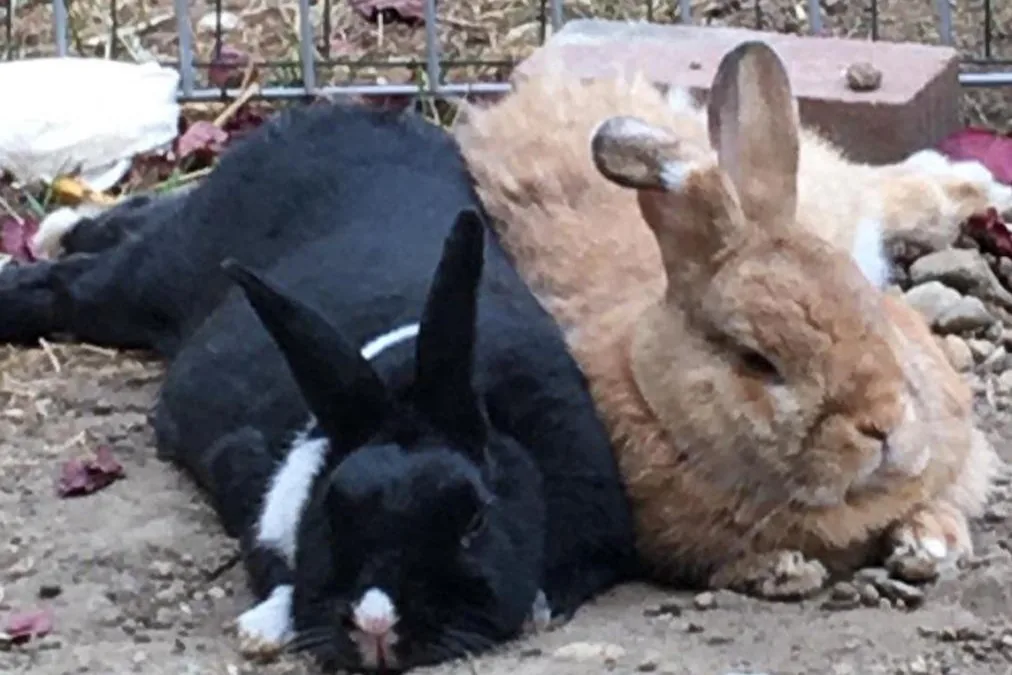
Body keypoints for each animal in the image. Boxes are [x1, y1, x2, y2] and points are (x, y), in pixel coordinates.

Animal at [0, 101, 636, 669]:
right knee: (74, 282)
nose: (377, 626)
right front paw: (264, 626)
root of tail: (334, 110)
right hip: (149, 281)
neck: (401, 387)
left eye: (474, 521)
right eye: (332, 511)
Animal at [453, 40, 1005, 599]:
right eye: (757, 362)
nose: (884, 424)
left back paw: (975, 186)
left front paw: (932, 541)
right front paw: (780, 569)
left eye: (871, 309)